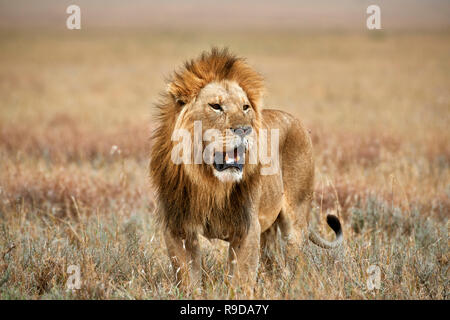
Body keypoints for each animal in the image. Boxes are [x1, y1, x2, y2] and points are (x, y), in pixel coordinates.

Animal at [149, 47, 342, 296]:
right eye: (216, 106)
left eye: (245, 107)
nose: (244, 129)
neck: (209, 183)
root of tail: (295, 119)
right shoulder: (178, 228)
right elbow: (187, 279)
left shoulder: (247, 228)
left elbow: (240, 281)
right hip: (268, 232)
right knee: (275, 264)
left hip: (296, 218)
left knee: (297, 262)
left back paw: (297, 289)